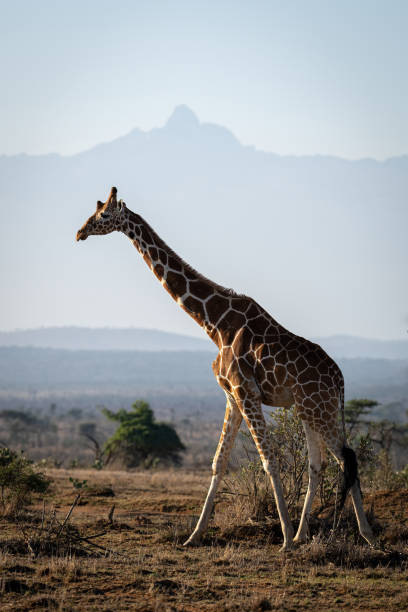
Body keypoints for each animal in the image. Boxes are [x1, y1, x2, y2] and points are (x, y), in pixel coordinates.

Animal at [75, 186, 372, 548]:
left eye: (103, 215)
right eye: (94, 211)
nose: (79, 232)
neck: (214, 324)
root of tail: (341, 380)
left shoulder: (246, 392)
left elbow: (269, 460)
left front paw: (285, 538)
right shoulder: (231, 396)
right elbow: (219, 462)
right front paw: (194, 536)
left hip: (319, 408)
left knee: (346, 457)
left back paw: (363, 535)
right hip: (309, 409)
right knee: (321, 464)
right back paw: (308, 534)